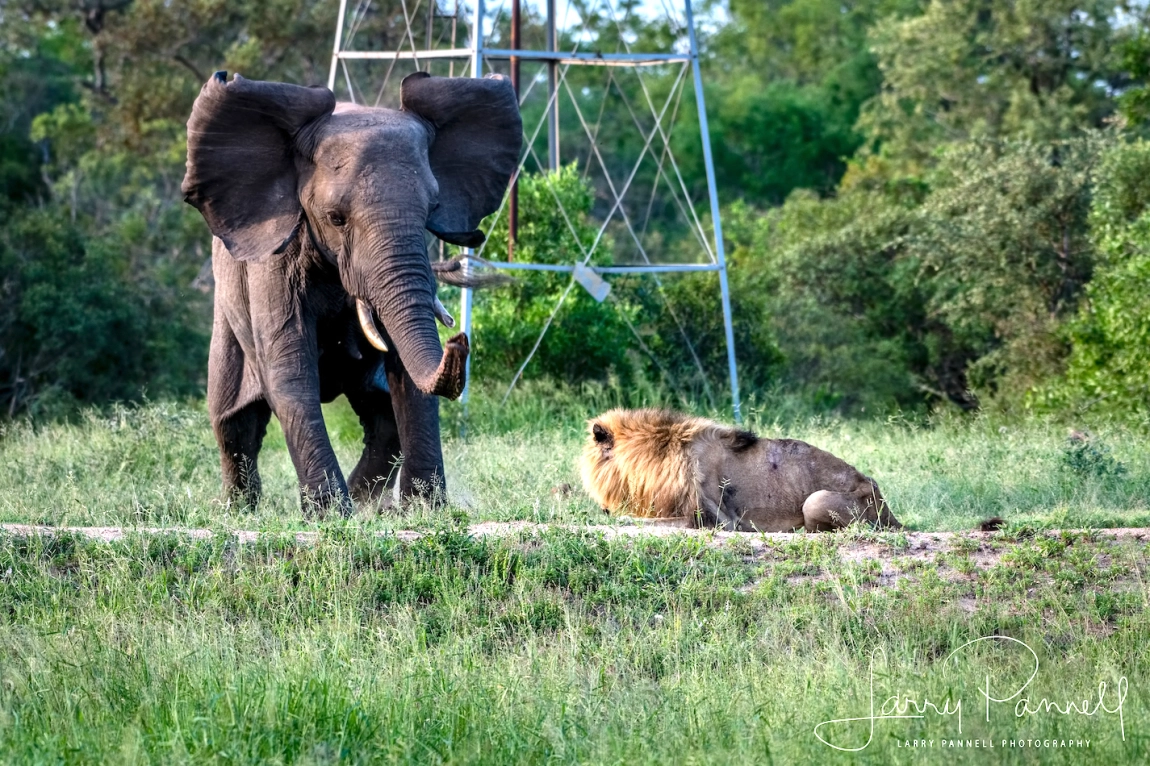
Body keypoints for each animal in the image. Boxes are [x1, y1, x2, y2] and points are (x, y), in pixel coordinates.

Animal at [181, 71, 524, 512]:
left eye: (431, 210)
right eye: (335, 218)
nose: (458, 340)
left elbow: (407, 374)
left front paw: (424, 509)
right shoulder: (273, 259)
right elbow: (290, 370)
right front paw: (329, 514)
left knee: (381, 414)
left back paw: (365, 504)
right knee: (234, 420)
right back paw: (241, 509)